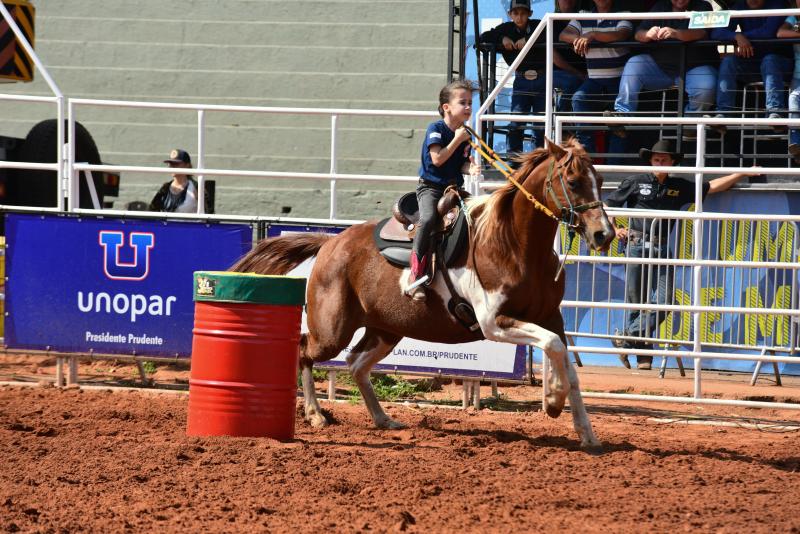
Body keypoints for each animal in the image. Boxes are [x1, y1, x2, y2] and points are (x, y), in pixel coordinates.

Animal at [231, 140, 612, 450]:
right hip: (332, 330)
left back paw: (383, 419)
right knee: (305, 351)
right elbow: (553, 346)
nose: (604, 234)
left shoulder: (551, 316)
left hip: (386, 330)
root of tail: (330, 242)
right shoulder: (494, 323)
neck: (512, 243)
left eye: (599, 179)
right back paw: (315, 414)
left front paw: (584, 430)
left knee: (356, 365)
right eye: (573, 182)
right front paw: (553, 399)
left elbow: (564, 360)